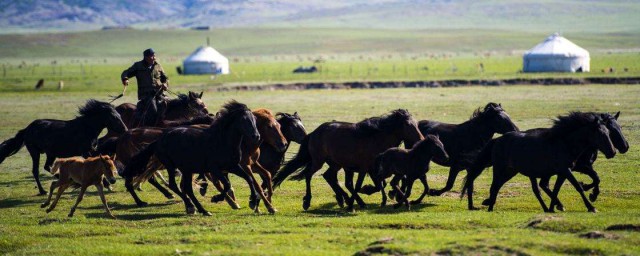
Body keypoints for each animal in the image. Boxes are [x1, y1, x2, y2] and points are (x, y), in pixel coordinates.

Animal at [121, 101, 258, 215]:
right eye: (244, 120)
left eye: (254, 119)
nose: (256, 136)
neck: (221, 141)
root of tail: (158, 141)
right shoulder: (214, 169)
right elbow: (227, 184)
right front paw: (216, 198)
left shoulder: (233, 166)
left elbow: (249, 178)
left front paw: (253, 201)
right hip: (171, 166)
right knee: (173, 185)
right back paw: (190, 206)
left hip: (186, 170)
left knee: (187, 188)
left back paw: (201, 210)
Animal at [272, 109, 424, 211]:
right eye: (408, 125)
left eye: (416, 124)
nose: (421, 139)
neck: (376, 139)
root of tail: (313, 133)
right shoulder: (364, 168)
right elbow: (358, 185)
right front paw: (357, 199)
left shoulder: (372, 169)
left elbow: (378, 185)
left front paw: (366, 195)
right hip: (318, 161)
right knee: (309, 175)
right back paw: (307, 201)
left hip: (335, 164)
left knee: (328, 176)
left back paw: (342, 198)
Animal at [462, 112, 616, 212]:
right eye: (600, 134)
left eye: (608, 133)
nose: (612, 152)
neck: (564, 143)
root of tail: (497, 140)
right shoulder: (565, 170)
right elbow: (577, 186)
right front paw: (591, 206)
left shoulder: (562, 172)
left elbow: (556, 189)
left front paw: (553, 208)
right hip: (500, 168)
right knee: (494, 187)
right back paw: (490, 207)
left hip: (511, 171)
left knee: (500, 186)